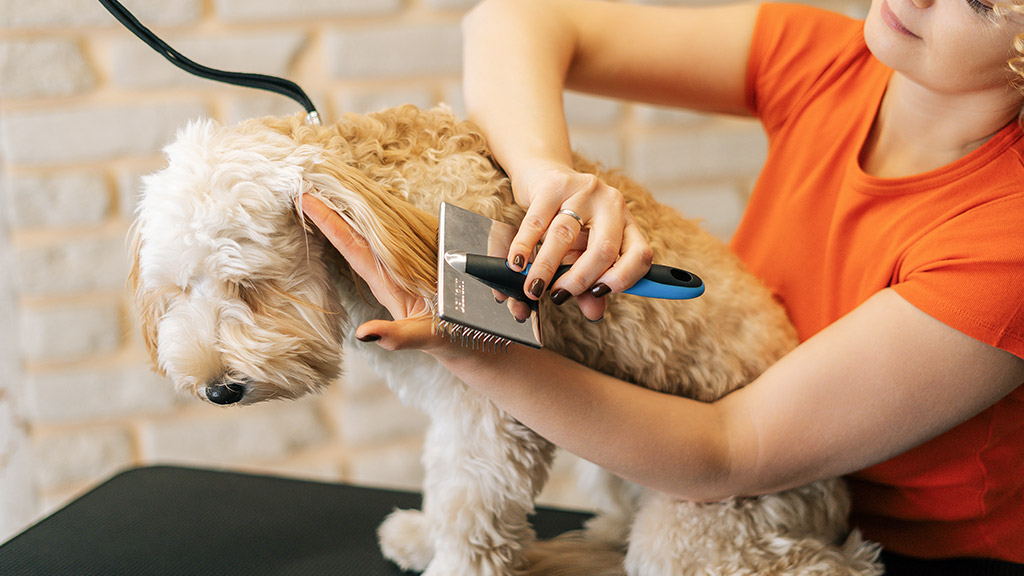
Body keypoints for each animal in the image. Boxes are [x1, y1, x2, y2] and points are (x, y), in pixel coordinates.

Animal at [125, 104, 880, 573]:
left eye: (250, 285)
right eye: (177, 291)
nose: (218, 390)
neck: (378, 187)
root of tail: (836, 499)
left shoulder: (492, 407)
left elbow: (472, 502)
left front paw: (452, 560)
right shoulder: (447, 391)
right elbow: (444, 480)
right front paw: (424, 536)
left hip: (706, 526)